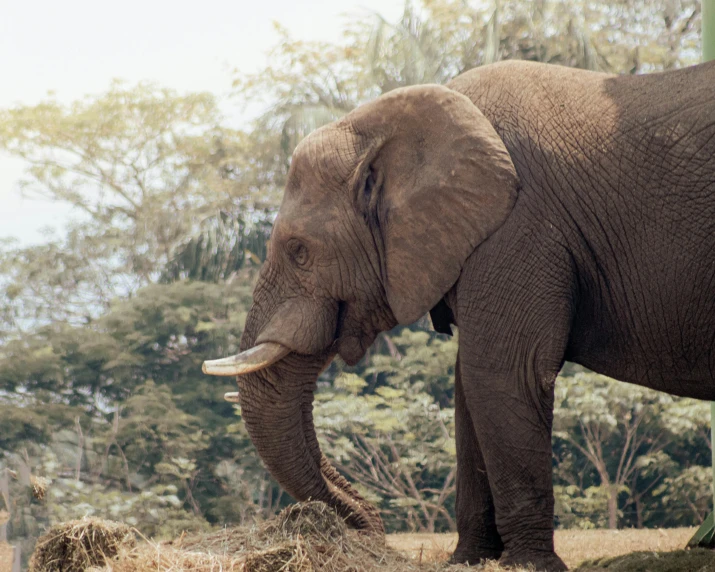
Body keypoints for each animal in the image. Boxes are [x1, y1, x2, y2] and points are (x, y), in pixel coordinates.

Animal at [201, 60, 715, 568]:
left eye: (299, 251)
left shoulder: (517, 226)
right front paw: (467, 561)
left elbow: (503, 374)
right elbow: (468, 384)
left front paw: (528, 566)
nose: (373, 534)